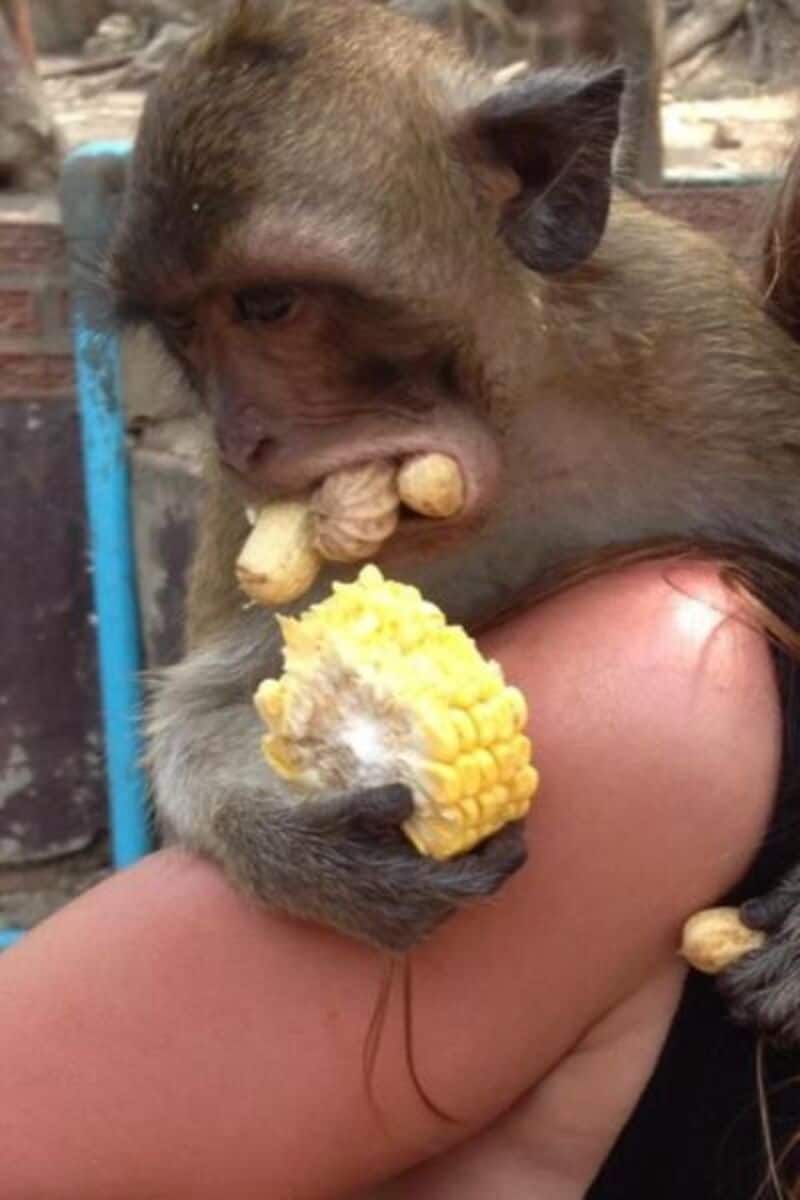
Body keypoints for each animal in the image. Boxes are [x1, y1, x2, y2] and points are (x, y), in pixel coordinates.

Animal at [106, 0, 800, 1190]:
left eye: (269, 304)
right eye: (186, 330)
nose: (241, 438)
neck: (514, 437)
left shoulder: (705, 357)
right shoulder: (254, 522)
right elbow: (207, 704)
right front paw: (299, 843)